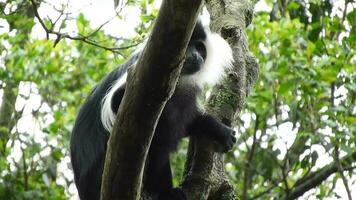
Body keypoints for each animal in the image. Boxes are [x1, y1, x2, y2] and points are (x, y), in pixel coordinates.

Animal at [70, 21, 236, 199]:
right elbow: (118, 102)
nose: (194, 56)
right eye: (186, 47)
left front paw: (219, 130)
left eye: (199, 47)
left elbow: (188, 122)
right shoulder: (140, 74)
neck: (178, 80)